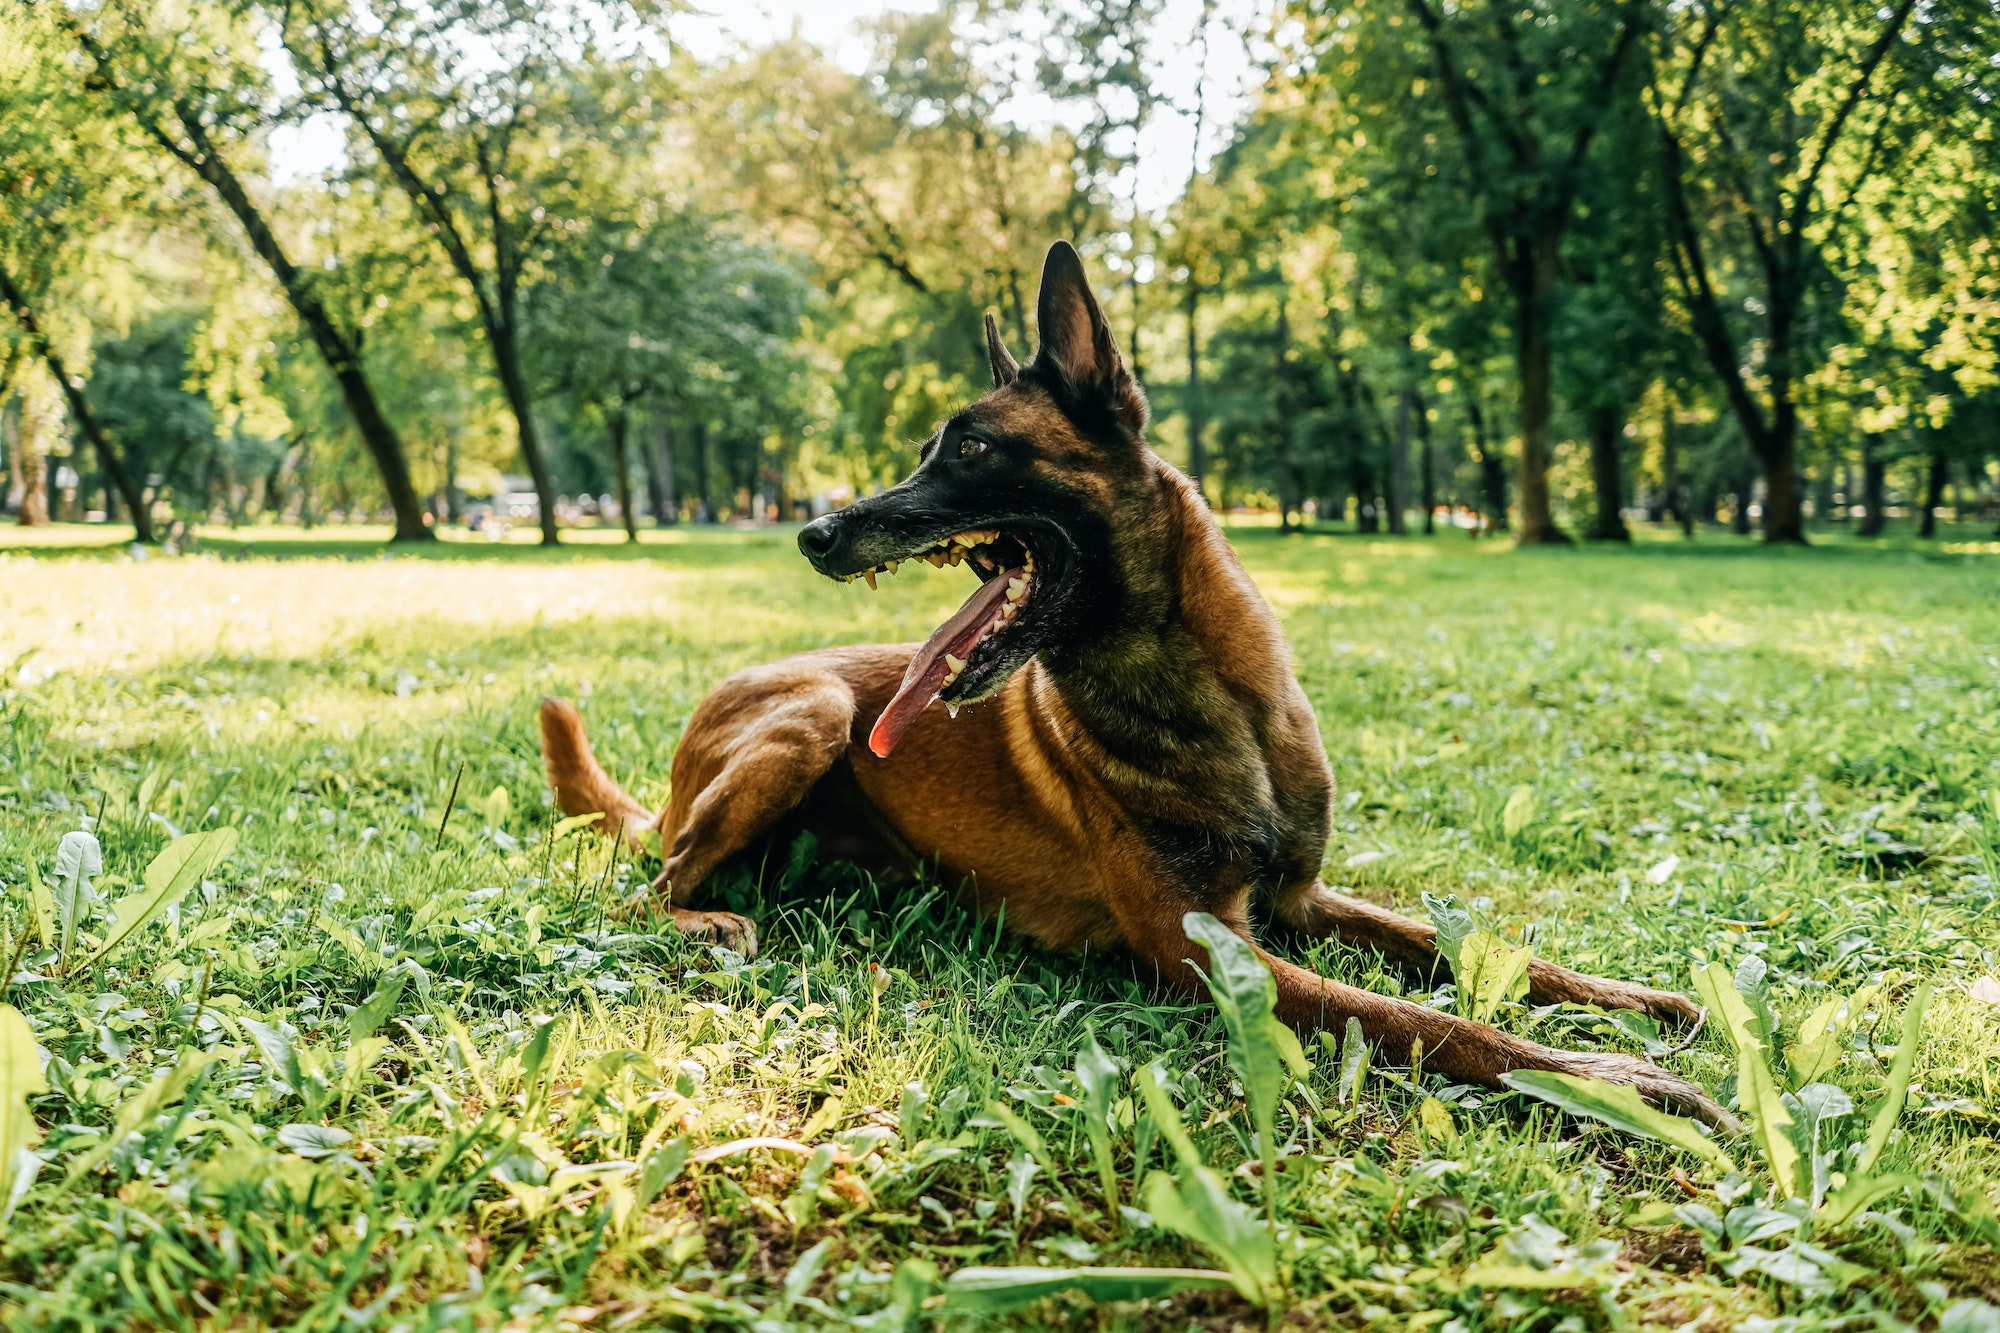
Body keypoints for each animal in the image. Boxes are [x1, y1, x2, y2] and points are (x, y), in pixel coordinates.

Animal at [540, 241, 1728, 1120]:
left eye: (966, 448)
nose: (813, 532)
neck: (1204, 698)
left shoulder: (1295, 902)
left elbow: (1466, 950)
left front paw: (1627, 1001)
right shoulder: (1220, 957)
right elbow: (1434, 1023)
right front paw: (1610, 1082)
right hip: (818, 711)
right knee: (650, 886)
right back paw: (712, 919)